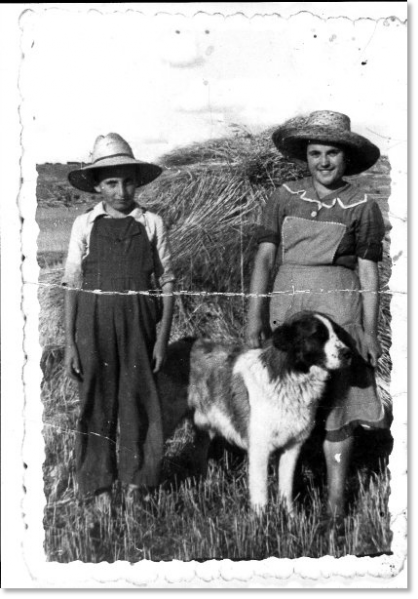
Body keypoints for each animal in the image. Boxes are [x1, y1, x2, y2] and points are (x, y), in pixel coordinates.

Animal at [155, 312, 352, 512]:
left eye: (336, 333)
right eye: (319, 335)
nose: (348, 353)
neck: (289, 376)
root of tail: (174, 345)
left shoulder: (292, 446)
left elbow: (286, 489)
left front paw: (290, 516)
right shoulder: (260, 449)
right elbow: (261, 493)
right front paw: (262, 519)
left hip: (205, 427)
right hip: (165, 422)